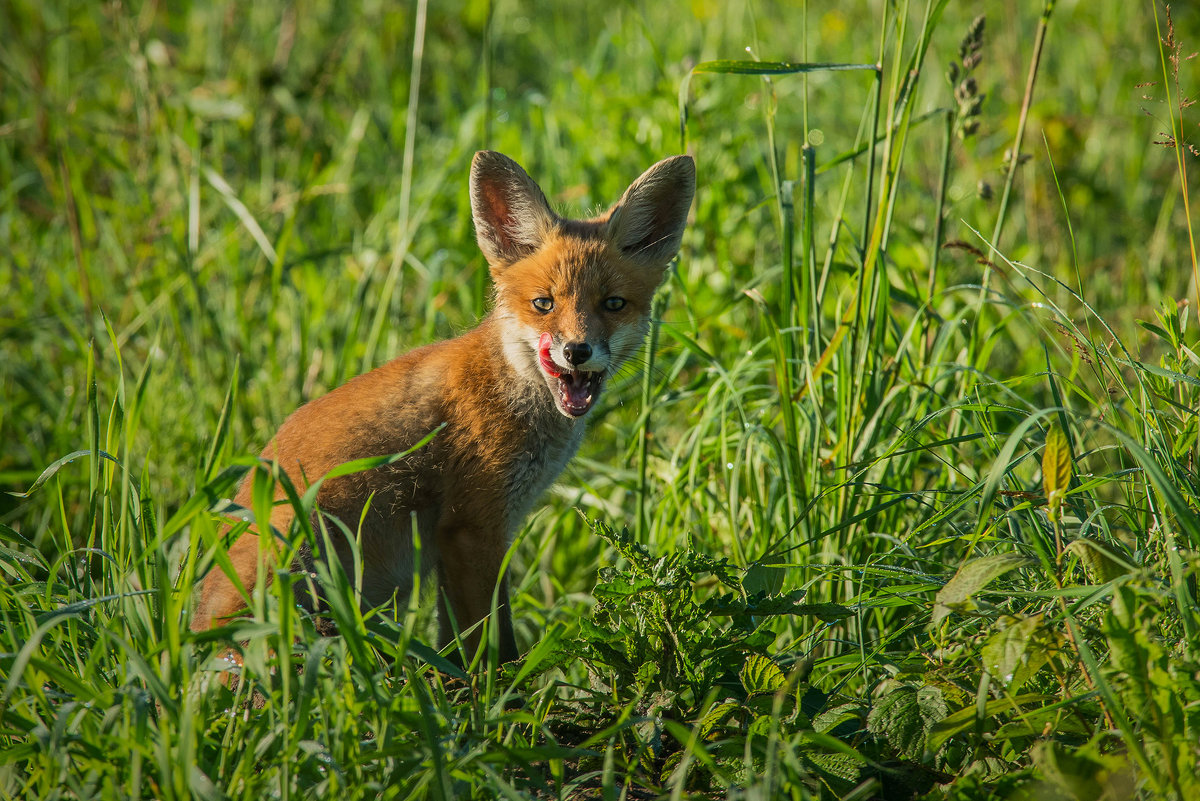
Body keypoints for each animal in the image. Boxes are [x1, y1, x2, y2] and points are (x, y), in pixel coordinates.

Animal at [187, 149, 696, 661]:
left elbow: (456, 647)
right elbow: (492, 646)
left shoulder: (480, 534)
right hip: (298, 541)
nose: (576, 351)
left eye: (613, 304)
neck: (509, 392)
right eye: (543, 304)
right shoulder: (470, 530)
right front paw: (500, 684)